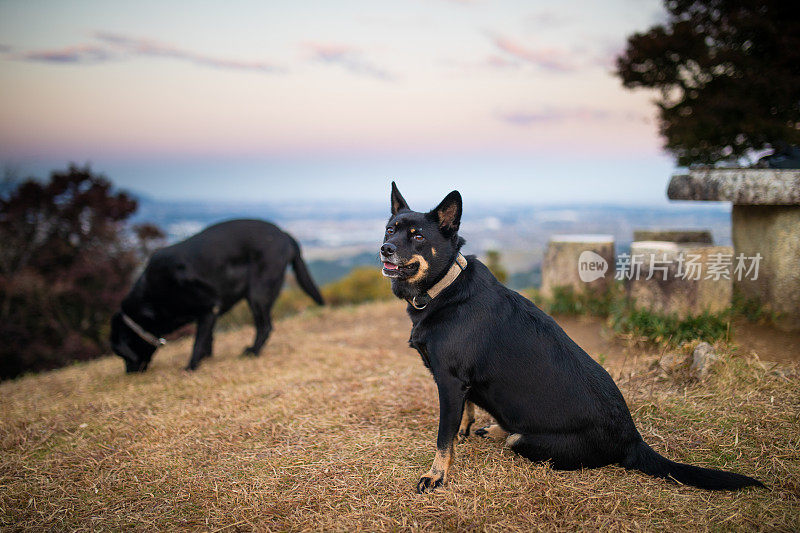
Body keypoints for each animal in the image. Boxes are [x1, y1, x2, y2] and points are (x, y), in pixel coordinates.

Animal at [111, 218, 324, 372]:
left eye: (122, 355)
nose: (129, 373)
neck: (151, 294)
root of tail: (284, 234)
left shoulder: (209, 305)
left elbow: (197, 342)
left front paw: (191, 367)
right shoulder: (209, 314)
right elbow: (208, 337)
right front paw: (206, 357)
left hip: (258, 292)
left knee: (265, 327)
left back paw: (252, 351)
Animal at [382, 183, 764, 490]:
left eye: (417, 236)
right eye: (390, 229)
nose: (385, 248)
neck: (445, 287)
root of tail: (633, 439)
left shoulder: (449, 382)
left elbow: (442, 438)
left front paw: (436, 475)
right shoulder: (458, 385)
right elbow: (463, 415)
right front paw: (465, 431)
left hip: (525, 441)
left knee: (516, 437)